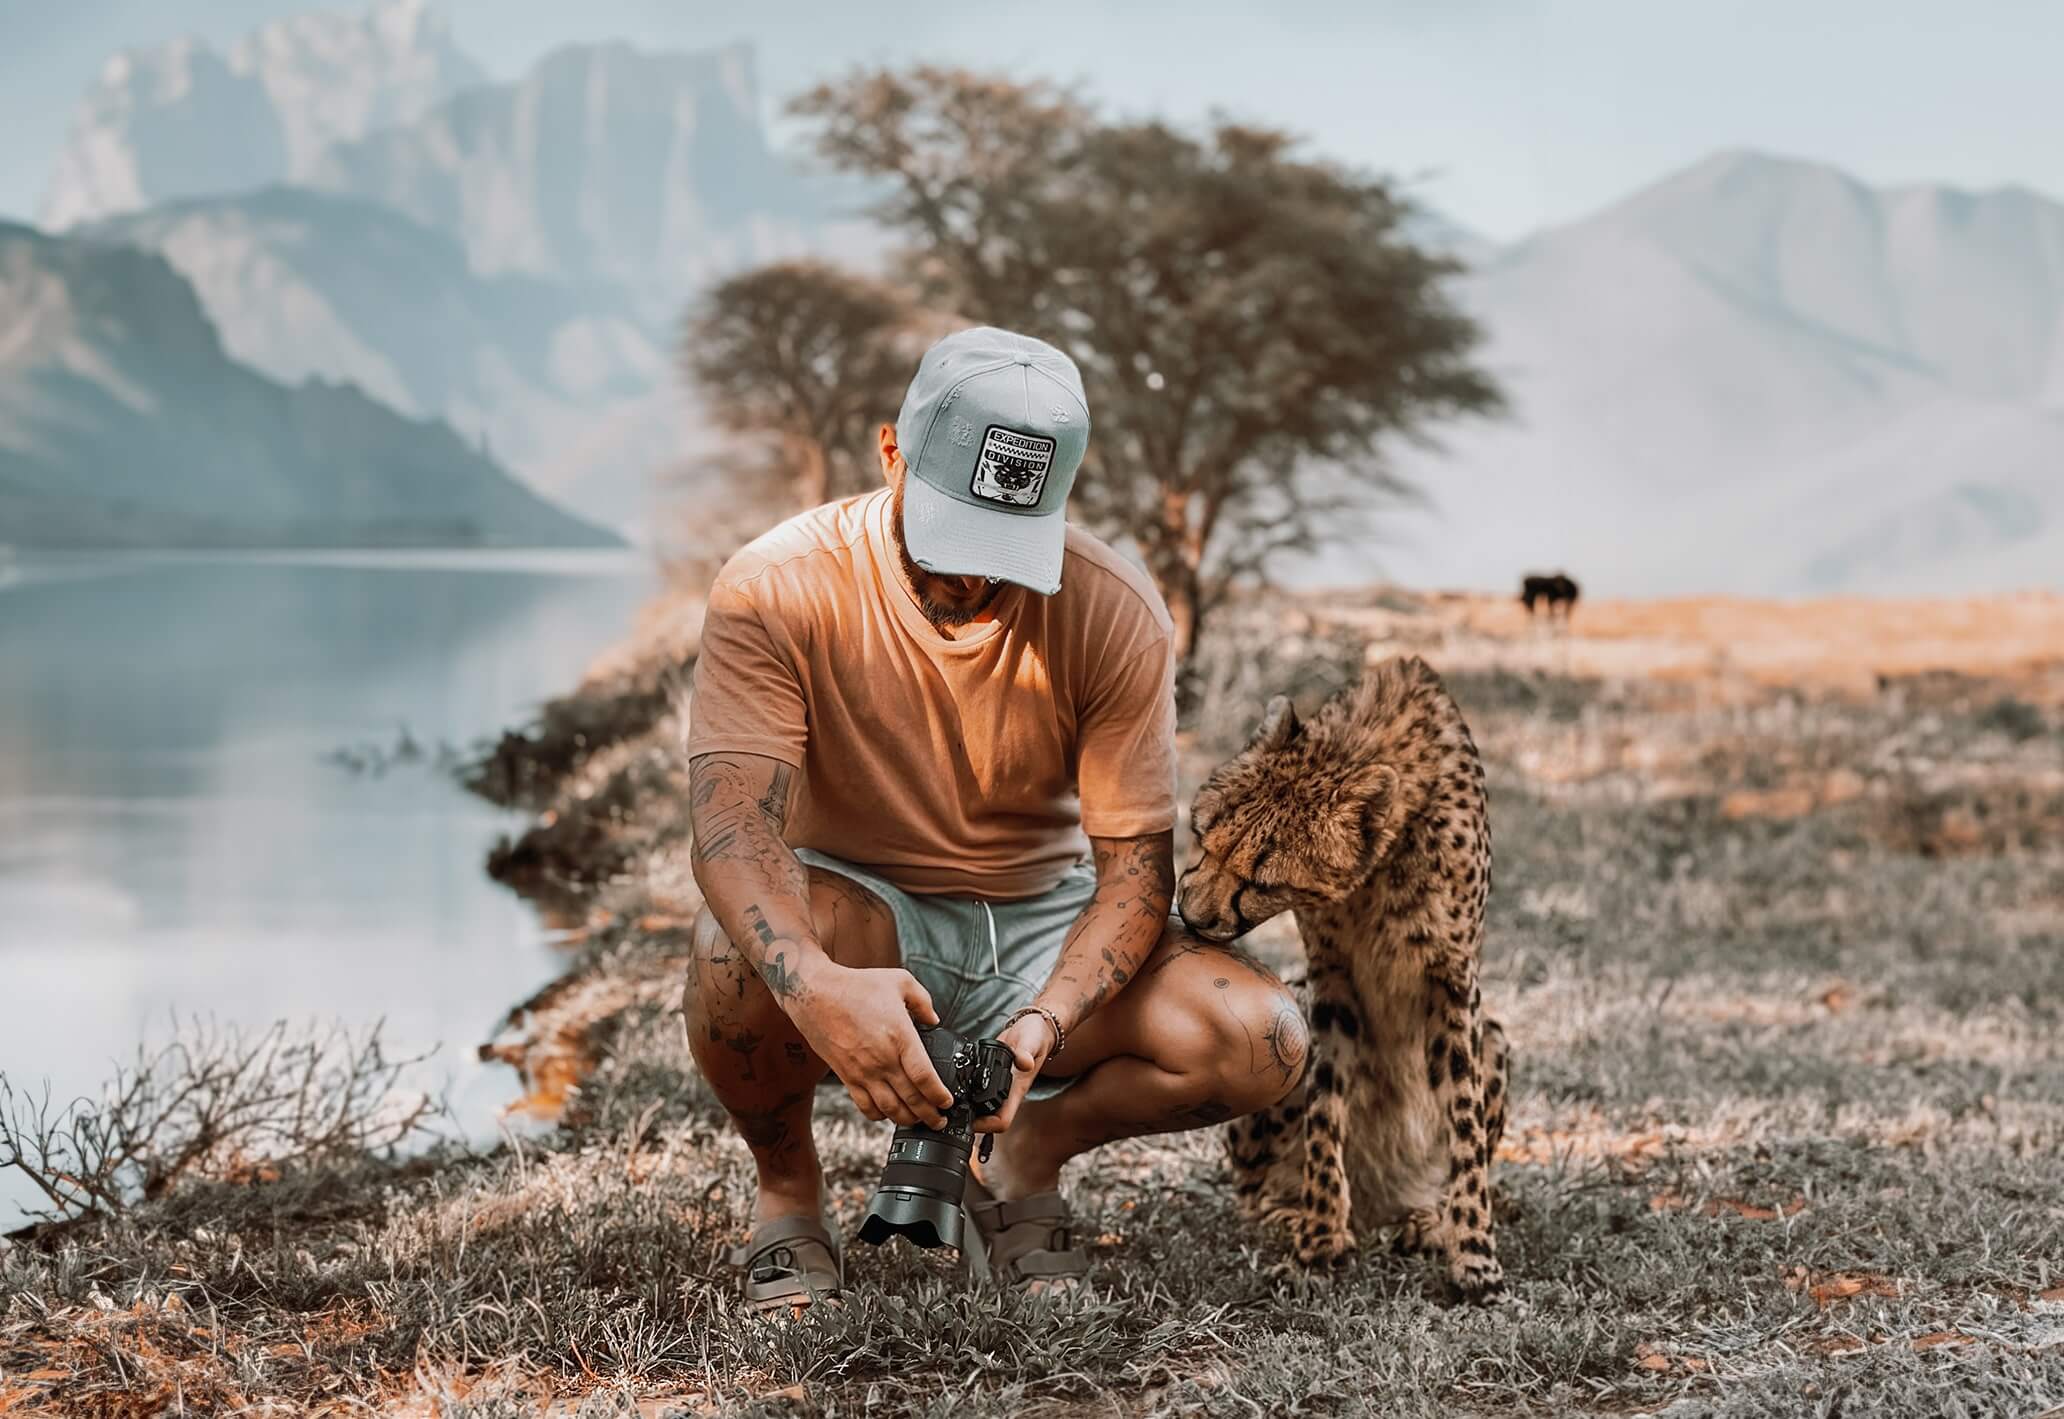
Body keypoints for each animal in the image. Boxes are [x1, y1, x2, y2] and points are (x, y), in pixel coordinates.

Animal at [1175, 654, 1510, 1300]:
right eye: (1202, 838)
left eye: (1262, 881)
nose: (1194, 918)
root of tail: (1381, 1203)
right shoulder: (1331, 981)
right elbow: (1326, 1106)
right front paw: (1319, 1237)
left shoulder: (1453, 983)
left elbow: (1465, 1123)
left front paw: (1475, 1254)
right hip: (1291, 1016)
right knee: (1252, 1193)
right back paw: (1291, 1212)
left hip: (1498, 1042)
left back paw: (1427, 1219)